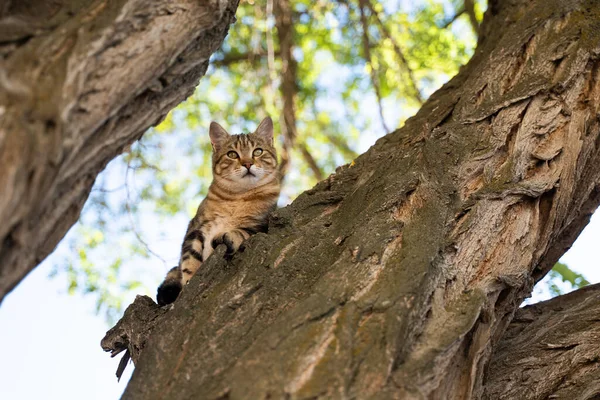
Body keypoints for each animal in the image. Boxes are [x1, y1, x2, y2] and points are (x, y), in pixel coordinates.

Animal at [158, 117, 282, 304]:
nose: (247, 163)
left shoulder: (261, 225)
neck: (238, 198)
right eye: (232, 154)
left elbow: (243, 231)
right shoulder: (196, 227)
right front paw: (189, 280)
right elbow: (189, 258)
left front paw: (229, 236)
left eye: (258, 151)